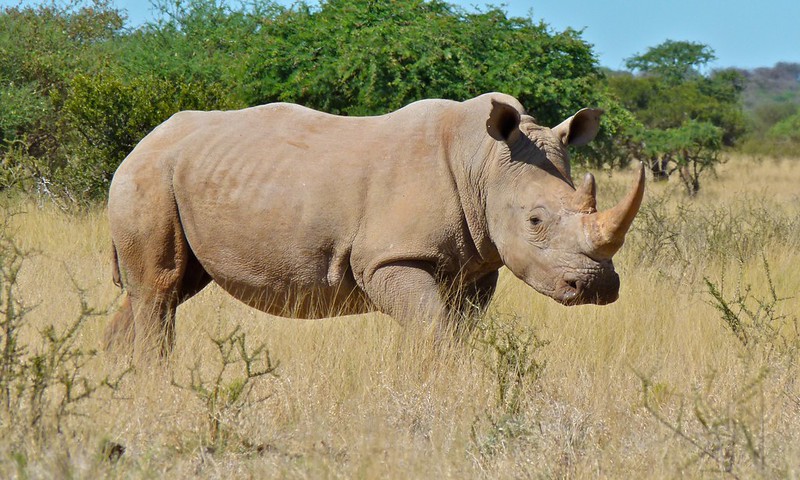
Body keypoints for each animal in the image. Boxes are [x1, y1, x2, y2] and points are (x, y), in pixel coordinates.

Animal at [104, 93, 644, 356]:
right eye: (535, 220)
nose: (596, 287)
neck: (486, 164)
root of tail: (142, 142)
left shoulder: (476, 263)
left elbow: (456, 330)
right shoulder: (388, 258)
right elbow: (432, 327)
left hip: (178, 175)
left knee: (161, 289)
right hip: (148, 178)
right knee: (160, 289)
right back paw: (157, 378)